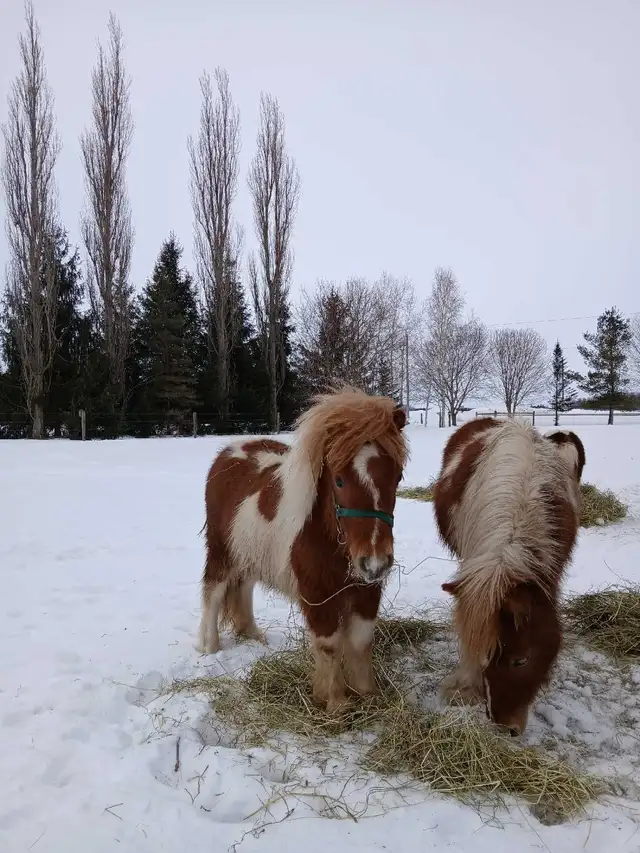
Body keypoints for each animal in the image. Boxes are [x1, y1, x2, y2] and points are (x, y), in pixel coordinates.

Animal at [196, 387, 408, 713]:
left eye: (397, 476)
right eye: (339, 479)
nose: (375, 563)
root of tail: (229, 451)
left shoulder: (366, 592)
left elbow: (360, 641)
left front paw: (367, 696)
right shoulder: (318, 596)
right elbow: (329, 645)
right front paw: (334, 703)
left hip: (250, 554)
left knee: (243, 588)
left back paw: (254, 636)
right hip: (222, 552)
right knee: (214, 592)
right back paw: (210, 647)